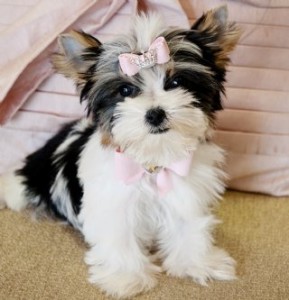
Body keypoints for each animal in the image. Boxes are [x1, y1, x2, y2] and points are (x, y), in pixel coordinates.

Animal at [0, 5, 238, 298]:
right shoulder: (112, 203)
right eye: (125, 90)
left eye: (176, 82)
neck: (151, 162)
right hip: (28, 183)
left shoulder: (186, 191)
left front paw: (198, 262)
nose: (155, 113)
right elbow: (120, 236)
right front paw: (126, 278)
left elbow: (189, 224)